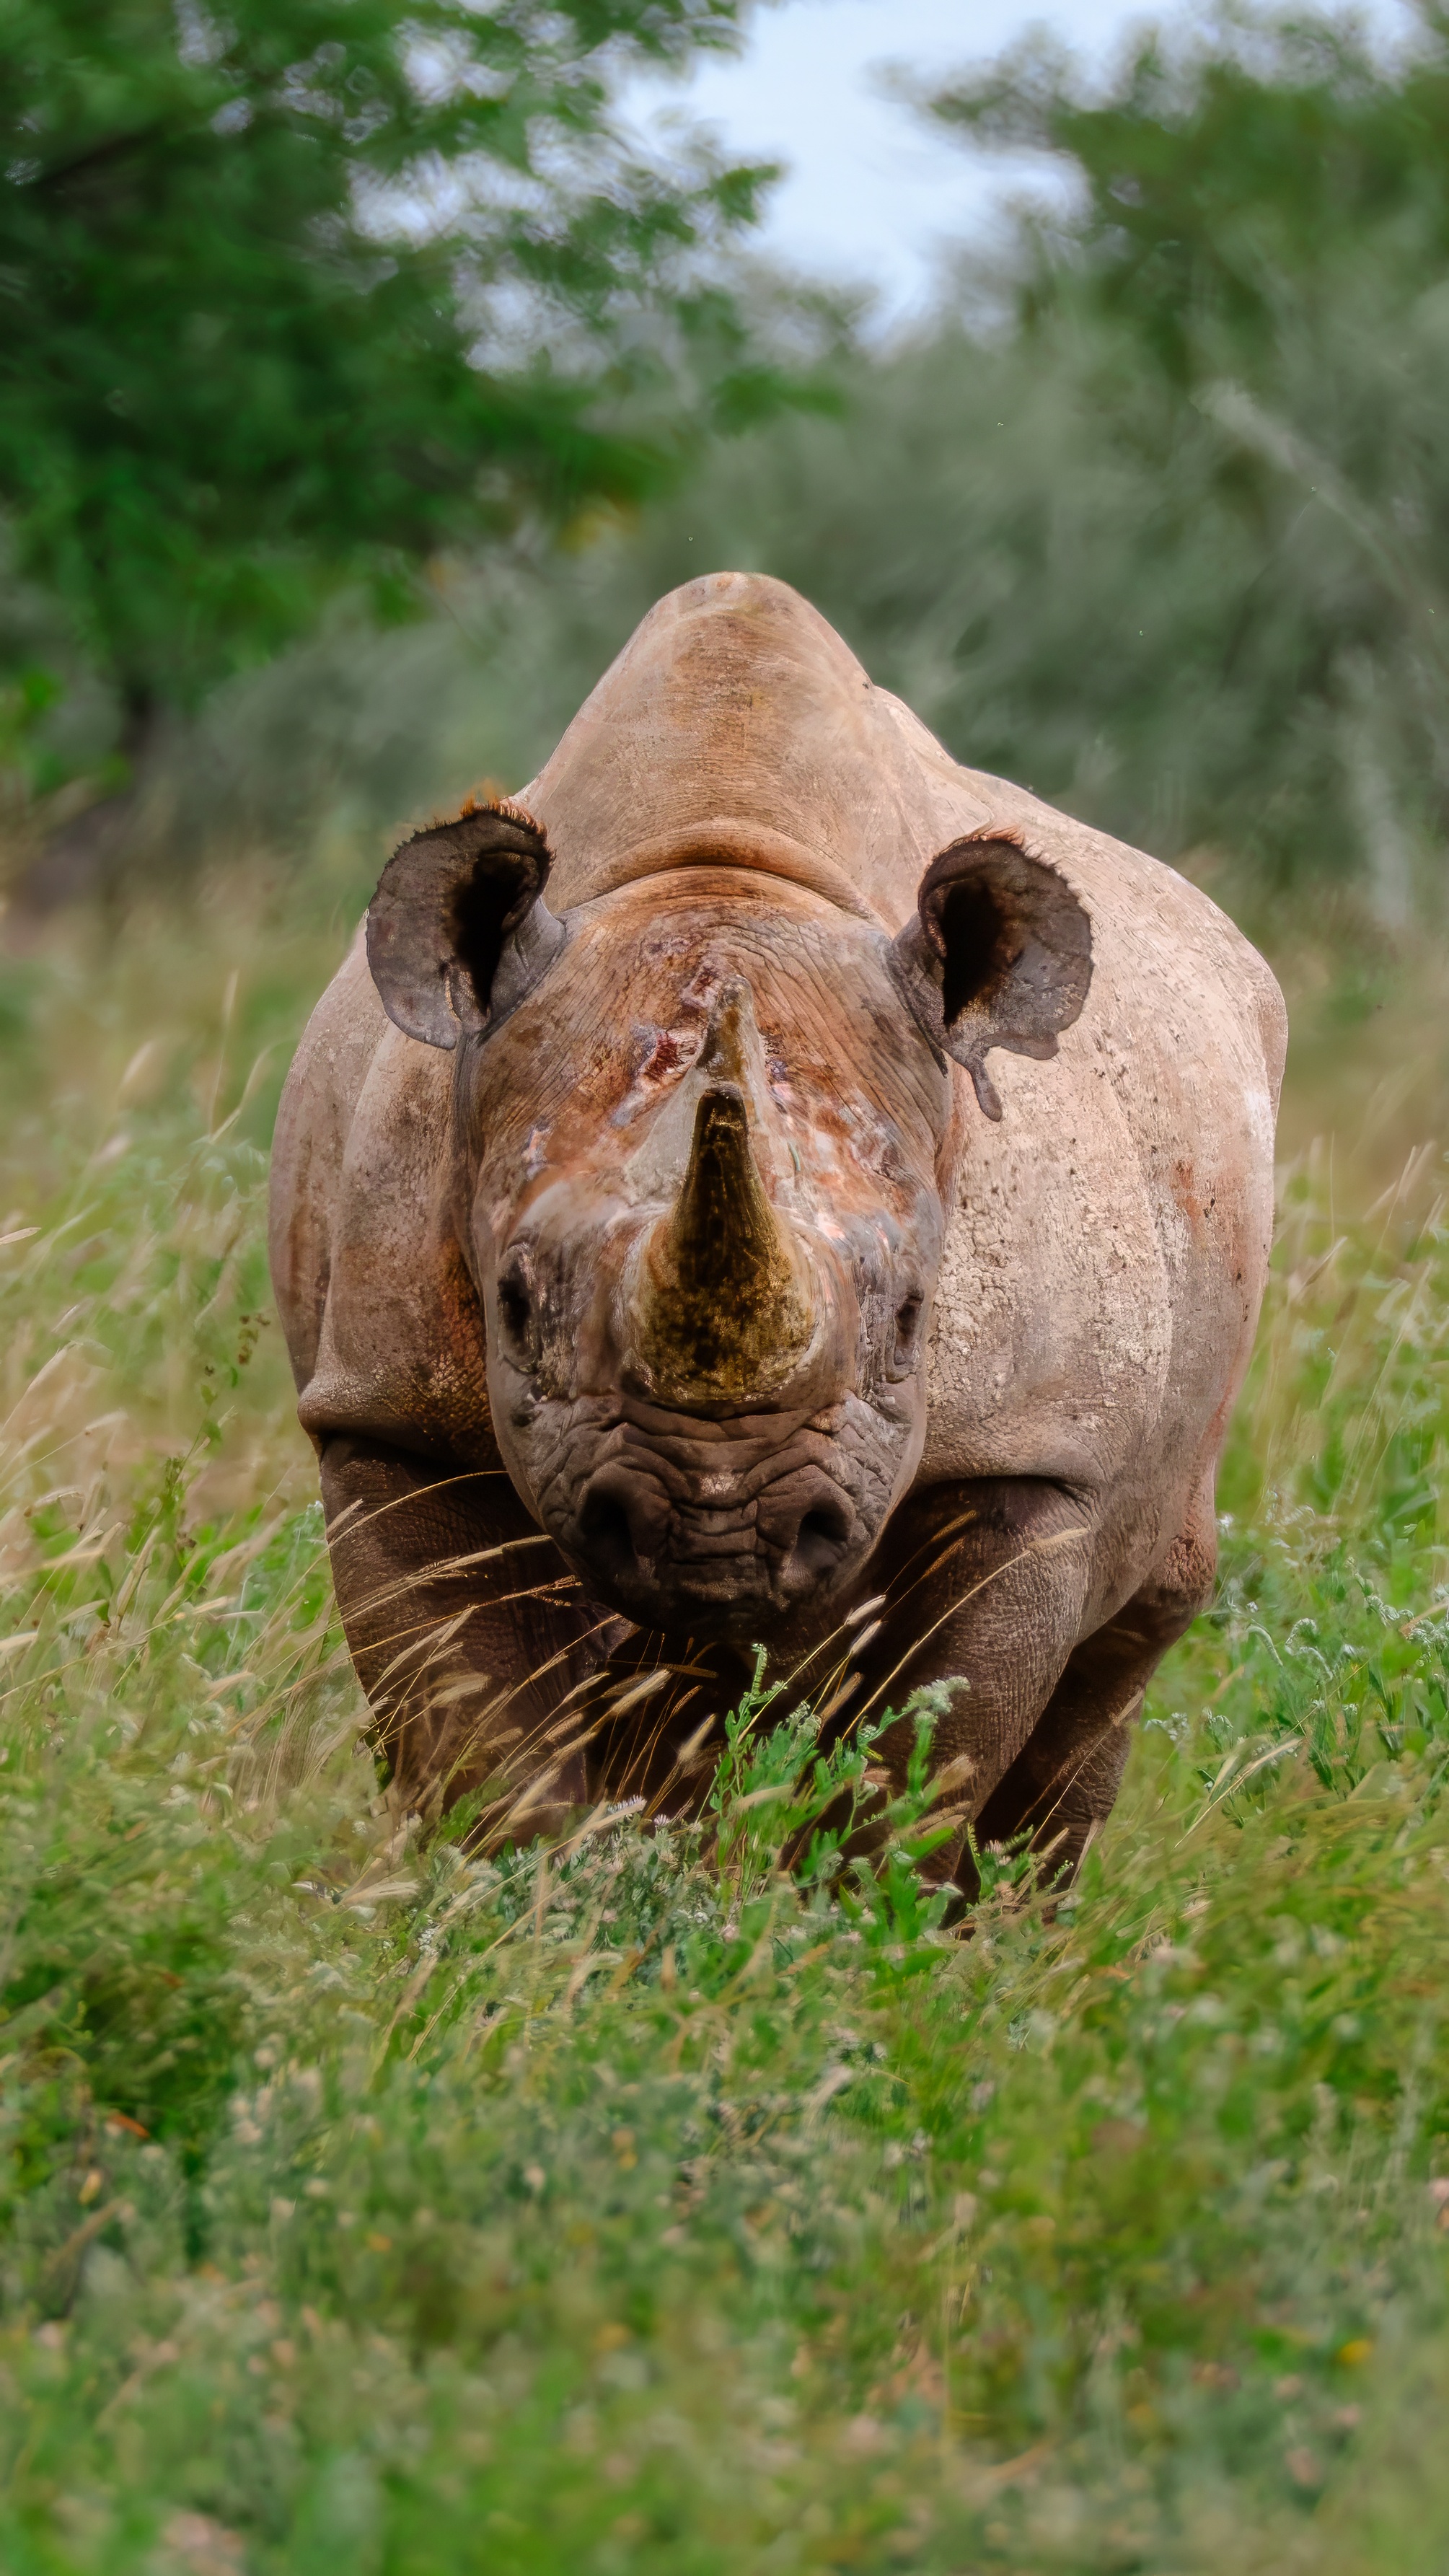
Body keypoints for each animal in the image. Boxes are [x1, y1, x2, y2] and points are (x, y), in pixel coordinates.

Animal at [270, 572, 1285, 1884]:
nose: (718, 1533)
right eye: (513, 1301)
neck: (724, 875)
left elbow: (920, 1763)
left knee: (1120, 1646)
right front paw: (538, 1912)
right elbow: (484, 1754)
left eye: (912, 1315)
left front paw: (843, 1924)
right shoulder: (391, 1416)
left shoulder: (1027, 1454)